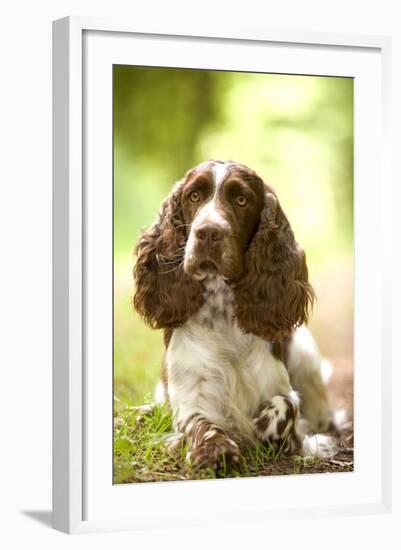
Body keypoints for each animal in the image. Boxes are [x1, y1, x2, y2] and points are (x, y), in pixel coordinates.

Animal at [134, 160, 334, 470]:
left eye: (241, 200)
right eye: (194, 196)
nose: (208, 232)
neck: (223, 313)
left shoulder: (279, 386)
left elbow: (287, 406)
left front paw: (262, 426)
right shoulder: (190, 393)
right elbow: (199, 423)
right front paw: (216, 450)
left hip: (306, 353)